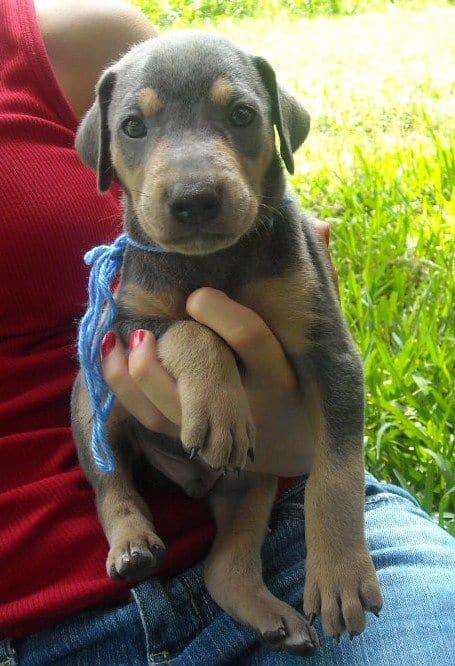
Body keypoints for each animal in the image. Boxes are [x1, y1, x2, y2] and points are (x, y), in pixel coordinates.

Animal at [71, 32, 382, 652]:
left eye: (242, 115)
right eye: (133, 126)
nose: (194, 199)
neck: (214, 262)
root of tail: (189, 482)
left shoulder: (331, 353)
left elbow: (337, 471)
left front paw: (339, 575)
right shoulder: (128, 325)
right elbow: (191, 328)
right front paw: (218, 406)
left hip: (253, 480)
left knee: (225, 563)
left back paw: (274, 618)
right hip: (90, 400)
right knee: (111, 480)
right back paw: (133, 545)